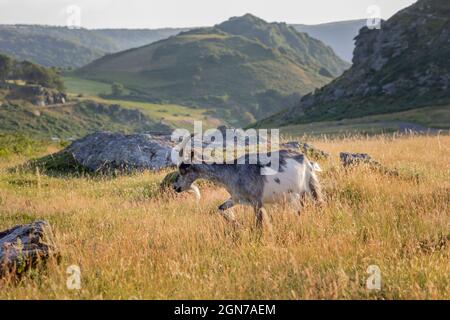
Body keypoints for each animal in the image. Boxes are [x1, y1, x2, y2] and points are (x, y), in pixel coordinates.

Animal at [172, 141, 324, 229]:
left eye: (184, 170)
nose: (175, 187)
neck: (232, 171)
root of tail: (307, 161)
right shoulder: (236, 198)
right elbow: (220, 208)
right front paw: (236, 223)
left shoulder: (257, 201)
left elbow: (259, 224)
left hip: (308, 187)